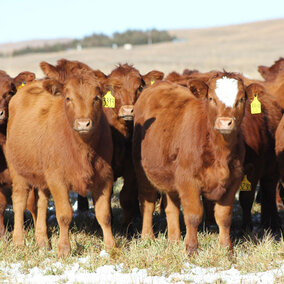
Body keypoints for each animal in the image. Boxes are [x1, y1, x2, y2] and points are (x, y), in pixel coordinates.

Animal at [5, 67, 114, 258]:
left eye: (97, 98)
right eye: (68, 98)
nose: (83, 123)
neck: (83, 148)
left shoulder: (105, 177)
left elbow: (104, 215)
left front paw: (111, 246)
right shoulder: (57, 180)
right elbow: (64, 214)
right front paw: (64, 249)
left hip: (42, 177)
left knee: (41, 203)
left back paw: (42, 241)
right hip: (17, 171)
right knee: (19, 201)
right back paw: (19, 241)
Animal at [133, 72, 246, 253]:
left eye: (241, 99)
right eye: (211, 98)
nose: (225, 122)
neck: (220, 151)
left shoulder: (234, 180)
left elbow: (224, 216)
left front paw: (227, 249)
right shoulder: (188, 180)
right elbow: (193, 215)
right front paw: (192, 249)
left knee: (171, 207)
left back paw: (174, 240)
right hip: (142, 171)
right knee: (148, 201)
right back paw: (147, 237)